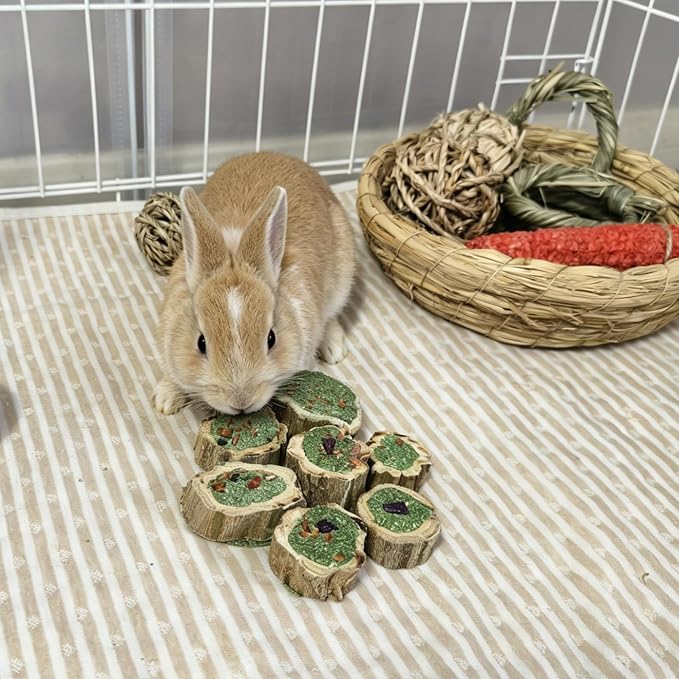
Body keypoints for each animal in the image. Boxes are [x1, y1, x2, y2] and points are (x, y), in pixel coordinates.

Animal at [152, 151, 356, 416]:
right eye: (201, 342)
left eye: (271, 338)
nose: (241, 402)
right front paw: (165, 400)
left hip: (343, 277)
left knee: (332, 314)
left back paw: (334, 350)